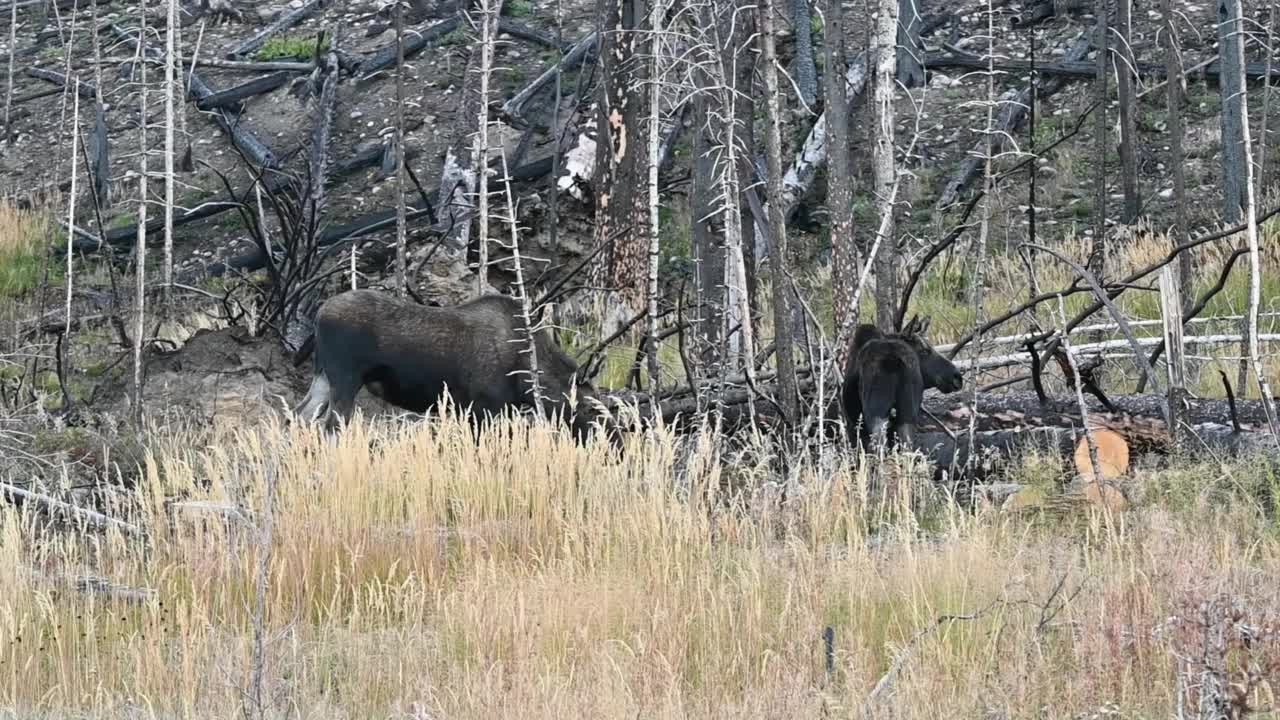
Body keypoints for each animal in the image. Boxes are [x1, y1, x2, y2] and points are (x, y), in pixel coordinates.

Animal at [293, 288, 611, 440]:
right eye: (590, 408)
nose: (614, 444)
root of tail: (319, 315)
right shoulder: (485, 409)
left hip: (323, 376)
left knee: (299, 416)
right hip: (344, 379)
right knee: (330, 428)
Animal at [834, 315, 962, 450]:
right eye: (924, 350)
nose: (957, 376)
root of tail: (895, 359)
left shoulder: (852, 425)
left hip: (876, 410)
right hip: (908, 410)